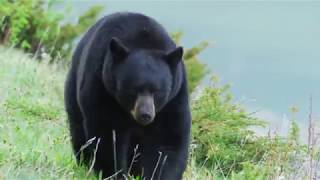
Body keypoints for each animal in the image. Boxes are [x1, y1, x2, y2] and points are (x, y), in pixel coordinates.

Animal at [63, 11, 191, 179]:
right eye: (133, 89)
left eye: (157, 91)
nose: (145, 114)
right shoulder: (102, 87)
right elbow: (107, 135)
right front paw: (113, 173)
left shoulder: (173, 99)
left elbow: (168, 141)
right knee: (78, 129)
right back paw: (85, 162)